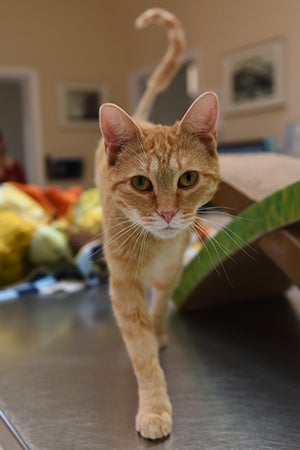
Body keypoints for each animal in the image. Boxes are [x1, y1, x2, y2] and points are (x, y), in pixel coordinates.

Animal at [96, 8, 220, 442]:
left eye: (188, 179)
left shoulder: (169, 273)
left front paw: (159, 331)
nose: (167, 214)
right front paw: (154, 406)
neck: (154, 246)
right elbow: (142, 353)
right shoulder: (123, 287)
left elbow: (161, 306)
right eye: (140, 184)